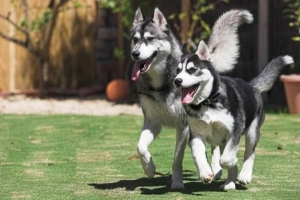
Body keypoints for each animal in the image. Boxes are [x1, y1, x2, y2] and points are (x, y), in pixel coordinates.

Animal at [131, 7, 253, 188]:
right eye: (135, 39)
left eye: (150, 39)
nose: (135, 53)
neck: (161, 83)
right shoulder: (153, 122)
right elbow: (140, 147)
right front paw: (149, 168)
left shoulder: (184, 127)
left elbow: (177, 159)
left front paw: (177, 183)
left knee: (215, 147)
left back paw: (216, 168)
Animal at [173, 40, 292, 189]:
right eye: (178, 70)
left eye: (192, 69)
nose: (177, 80)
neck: (207, 103)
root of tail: (251, 86)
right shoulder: (195, 134)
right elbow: (198, 155)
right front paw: (205, 172)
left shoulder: (235, 130)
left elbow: (226, 159)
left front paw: (233, 162)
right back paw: (229, 183)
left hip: (252, 132)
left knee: (250, 153)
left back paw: (244, 175)